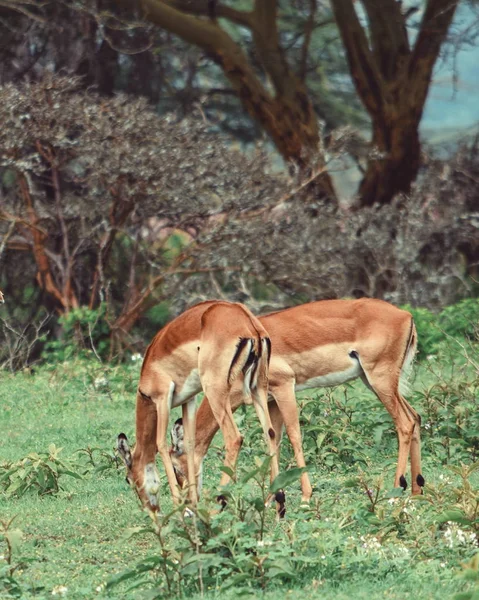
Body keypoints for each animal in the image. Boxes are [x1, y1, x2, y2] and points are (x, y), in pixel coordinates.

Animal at [116, 300, 284, 516]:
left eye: (127, 479)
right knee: (270, 433)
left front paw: (180, 507)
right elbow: (189, 443)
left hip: (215, 391)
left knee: (234, 438)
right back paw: (277, 501)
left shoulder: (161, 400)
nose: (152, 510)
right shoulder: (189, 400)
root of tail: (248, 322)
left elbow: (161, 444)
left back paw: (219, 503)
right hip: (259, 387)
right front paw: (192, 507)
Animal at [171, 298, 426, 502]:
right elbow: (274, 440)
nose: (185, 497)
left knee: (405, 423)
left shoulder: (285, 386)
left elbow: (294, 436)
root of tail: (406, 316)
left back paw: (396, 491)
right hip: (375, 381)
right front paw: (272, 499)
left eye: (175, 463)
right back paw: (416, 491)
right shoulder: (270, 400)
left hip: (380, 380)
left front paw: (304, 496)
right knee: (416, 417)